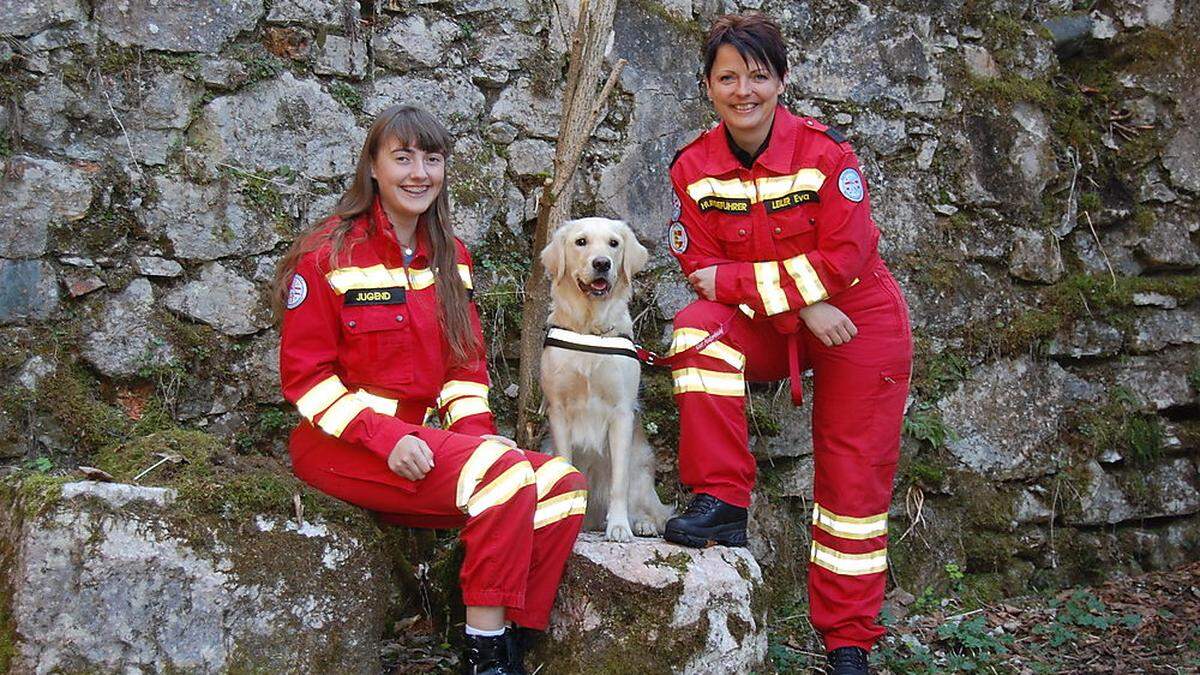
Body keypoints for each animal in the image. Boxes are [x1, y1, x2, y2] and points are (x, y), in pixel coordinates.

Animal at [542, 216, 676, 540]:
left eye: (614, 243)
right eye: (581, 242)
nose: (602, 263)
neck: (590, 329)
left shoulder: (621, 413)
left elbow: (619, 482)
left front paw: (619, 526)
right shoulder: (559, 411)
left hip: (641, 465)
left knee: (650, 507)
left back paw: (642, 523)